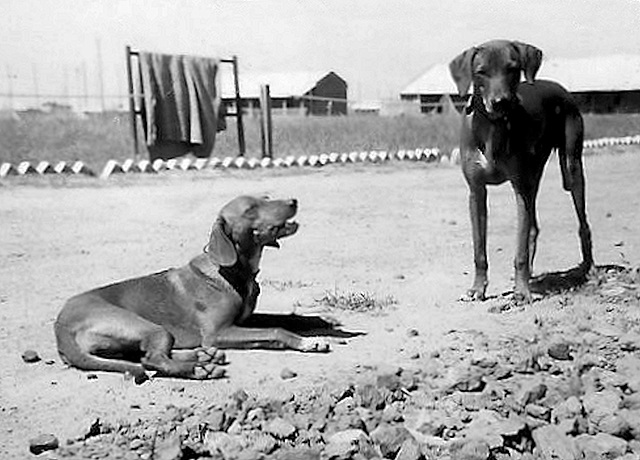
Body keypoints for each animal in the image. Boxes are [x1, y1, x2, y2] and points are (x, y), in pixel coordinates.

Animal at [55, 196, 330, 380]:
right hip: (150, 327)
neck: (232, 271)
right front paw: (306, 342)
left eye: (266, 198)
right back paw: (199, 367)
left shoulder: (244, 319)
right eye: (251, 209)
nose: (293, 200)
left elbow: (285, 318)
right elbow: (276, 330)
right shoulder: (218, 332)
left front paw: (320, 325)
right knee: (152, 360)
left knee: (145, 355)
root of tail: (61, 326)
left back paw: (204, 356)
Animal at [450, 40, 596, 302]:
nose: (500, 102)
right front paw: (478, 288)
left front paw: (521, 291)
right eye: (480, 72)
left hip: (571, 167)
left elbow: (519, 248)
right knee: (533, 228)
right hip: (534, 174)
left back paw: (588, 268)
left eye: (512, 69)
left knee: (582, 224)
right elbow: (479, 250)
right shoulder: (477, 192)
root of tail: (559, 88)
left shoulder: (519, 186)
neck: (493, 126)